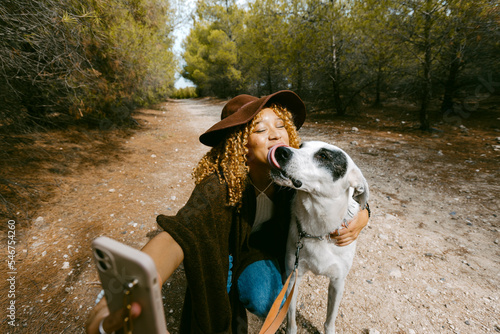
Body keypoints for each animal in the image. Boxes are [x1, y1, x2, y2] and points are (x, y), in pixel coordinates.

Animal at [270, 141, 368, 334]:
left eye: (323, 156)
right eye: (301, 146)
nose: (281, 151)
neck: (318, 229)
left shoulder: (338, 282)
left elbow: (330, 320)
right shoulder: (293, 276)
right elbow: (291, 317)